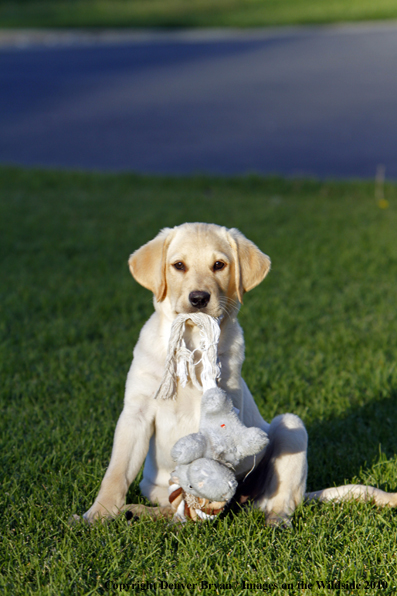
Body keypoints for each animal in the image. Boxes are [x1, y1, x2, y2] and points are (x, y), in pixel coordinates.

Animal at [83, 222, 306, 520]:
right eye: (179, 265)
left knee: (281, 497)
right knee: (170, 505)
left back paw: (276, 519)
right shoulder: (136, 412)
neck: (190, 340)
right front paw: (99, 514)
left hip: (291, 426)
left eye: (219, 265)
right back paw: (140, 512)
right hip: (154, 486)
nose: (199, 298)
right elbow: (117, 471)